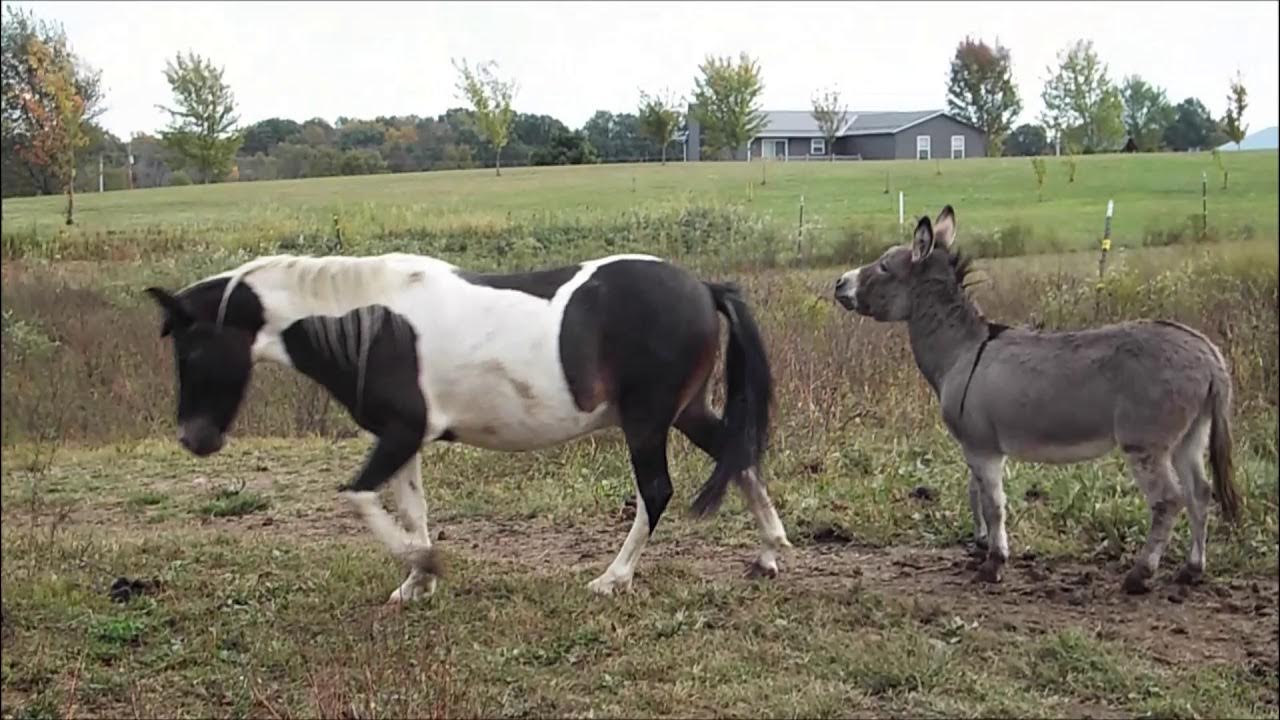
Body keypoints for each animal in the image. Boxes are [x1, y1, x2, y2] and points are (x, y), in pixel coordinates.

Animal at [144, 252, 791, 604]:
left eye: (192, 348)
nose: (194, 438)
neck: (371, 322)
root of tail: (703, 287)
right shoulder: (405, 438)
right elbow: (413, 509)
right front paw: (415, 586)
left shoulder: (400, 433)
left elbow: (358, 497)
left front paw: (426, 569)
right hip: (683, 411)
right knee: (737, 456)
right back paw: (769, 555)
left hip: (647, 421)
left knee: (656, 491)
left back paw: (612, 579)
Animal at [833, 206, 1241, 594]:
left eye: (884, 265)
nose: (838, 282)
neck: (962, 350)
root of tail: (1208, 354)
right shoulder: (977, 446)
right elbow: (975, 495)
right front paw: (981, 547)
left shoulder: (983, 448)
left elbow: (994, 504)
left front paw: (994, 564)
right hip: (1189, 436)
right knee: (1200, 493)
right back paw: (1191, 570)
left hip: (1145, 444)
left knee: (1169, 500)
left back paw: (1140, 575)